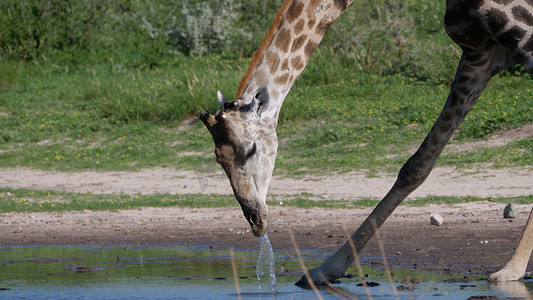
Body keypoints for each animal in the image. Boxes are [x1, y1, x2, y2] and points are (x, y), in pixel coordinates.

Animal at [200, 0, 532, 286]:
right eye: (217, 158)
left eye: (252, 148)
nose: (256, 221)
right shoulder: (479, 56)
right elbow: (417, 164)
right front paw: (323, 271)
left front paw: (510, 271)